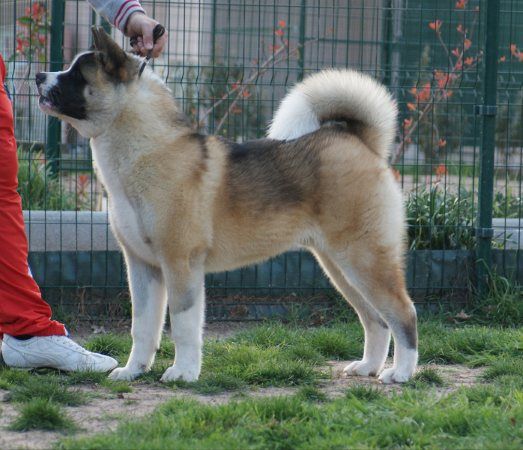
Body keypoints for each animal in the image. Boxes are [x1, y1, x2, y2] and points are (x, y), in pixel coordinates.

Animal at [34, 27, 420, 384]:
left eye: (77, 73)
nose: (38, 76)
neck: (148, 150)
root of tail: (360, 141)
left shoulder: (180, 264)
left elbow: (184, 326)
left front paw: (183, 373)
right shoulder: (142, 267)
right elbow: (142, 327)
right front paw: (134, 371)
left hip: (364, 260)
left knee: (403, 312)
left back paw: (401, 372)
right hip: (340, 267)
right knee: (375, 319)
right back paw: (368, 366)